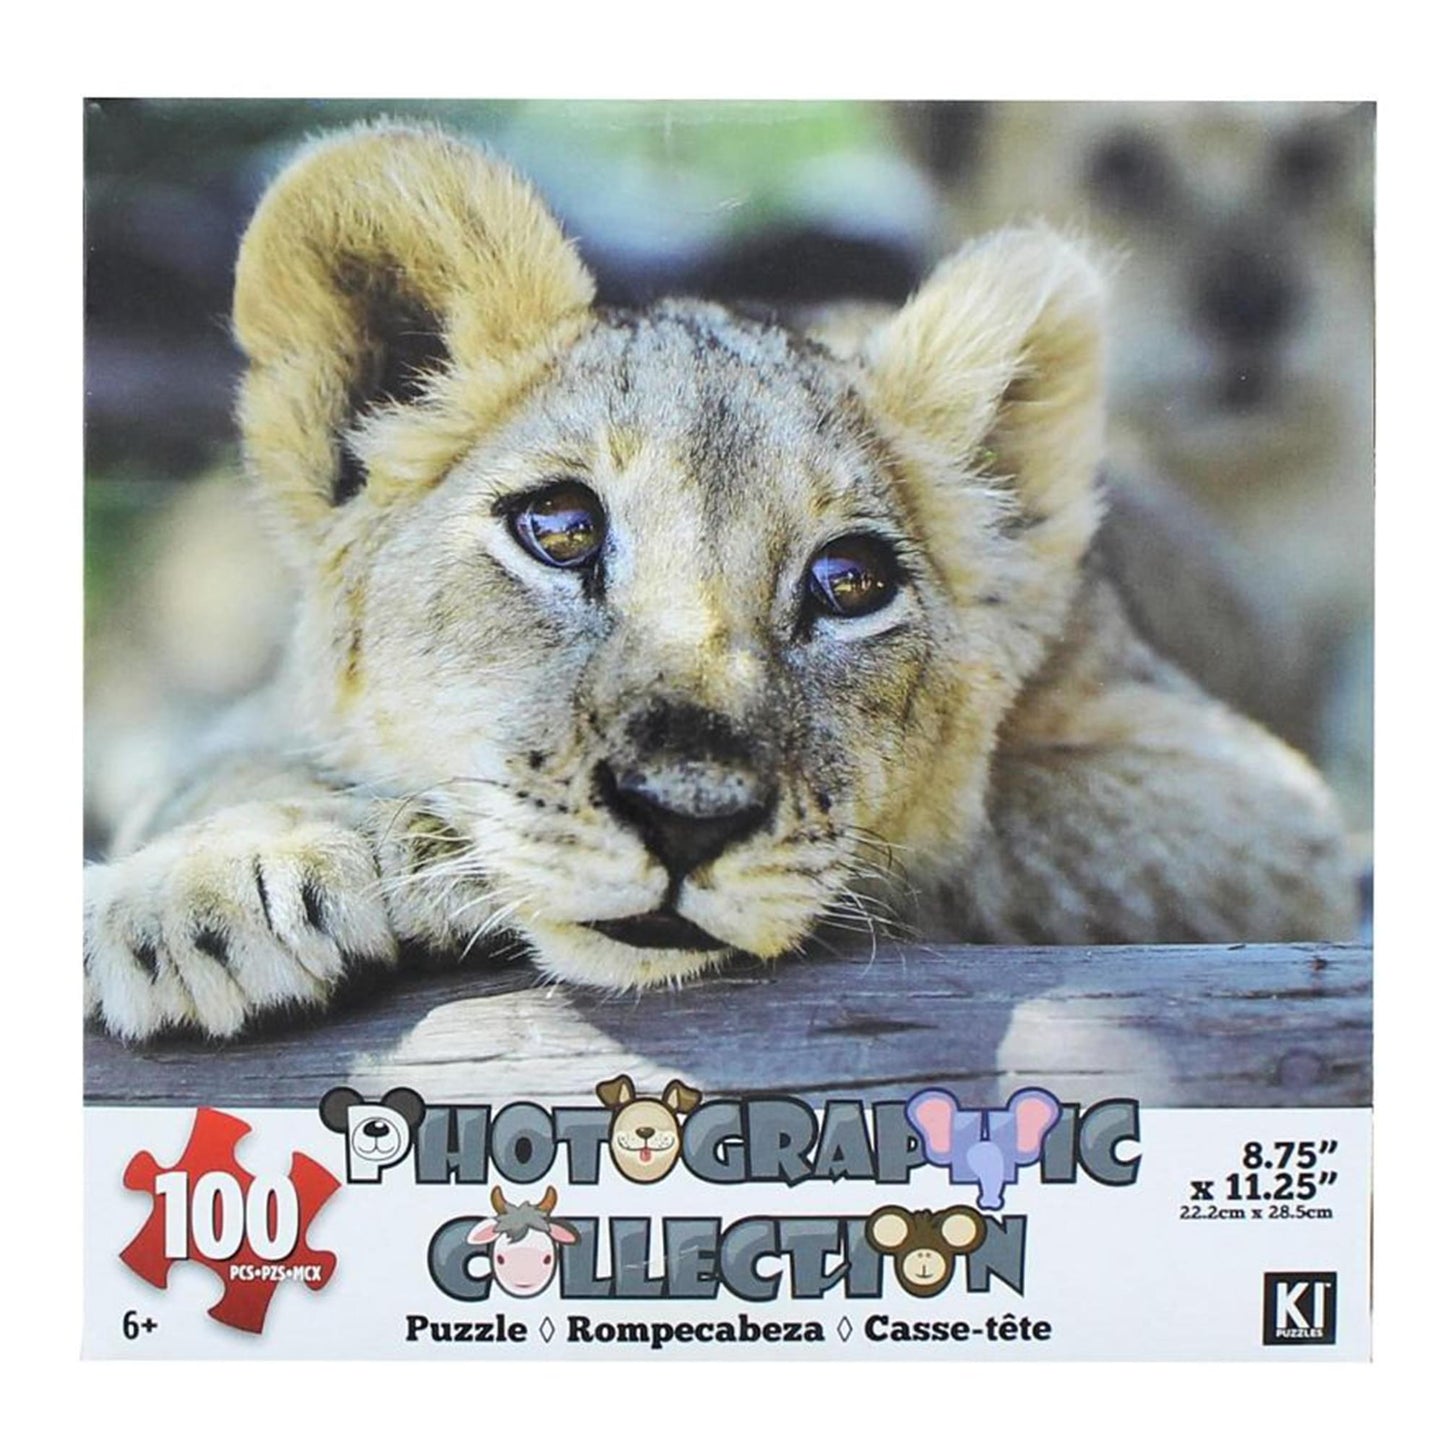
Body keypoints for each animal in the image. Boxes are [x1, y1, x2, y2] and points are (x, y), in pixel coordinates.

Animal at [82, 122, 1353, 1042]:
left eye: (850, 581)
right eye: (558, 529)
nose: (684, 818)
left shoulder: (1259, 812)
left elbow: (976, 828)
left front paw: (433, 856)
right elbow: (211, 767)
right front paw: (202, 890)